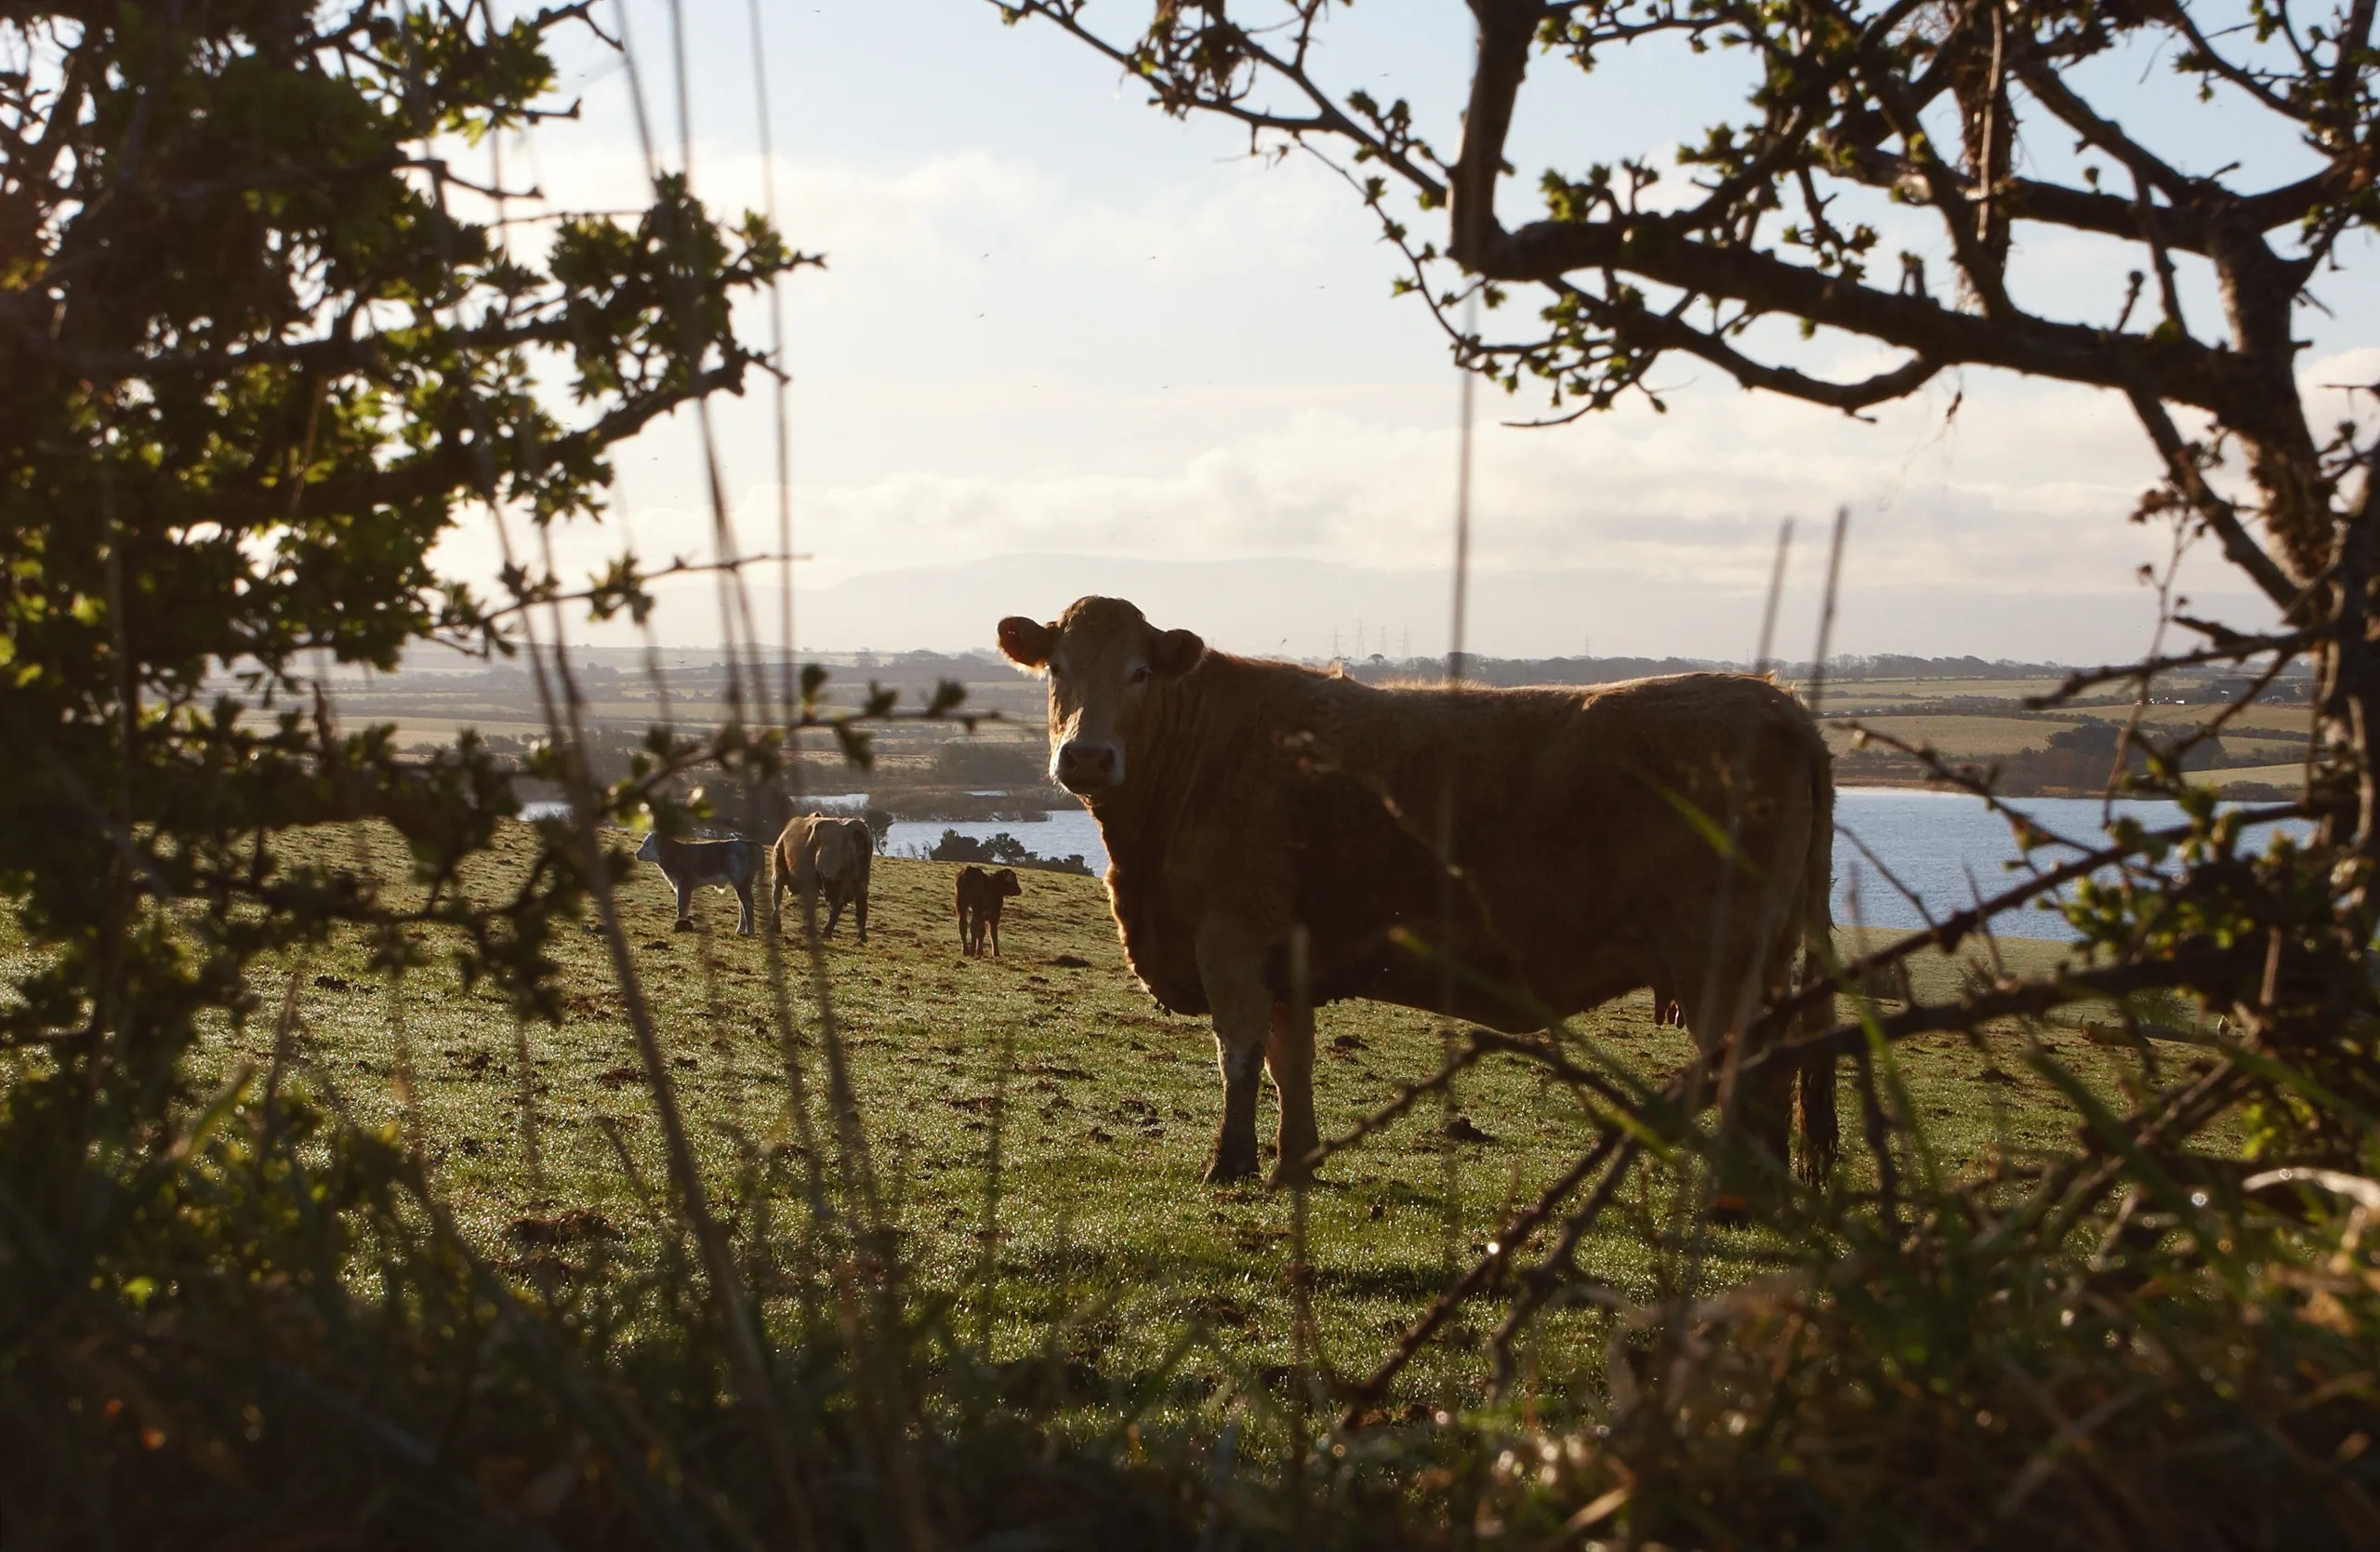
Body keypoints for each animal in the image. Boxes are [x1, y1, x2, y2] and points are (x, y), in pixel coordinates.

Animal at [636, 830, 759, 936]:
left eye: (647, 844)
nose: (636, 853)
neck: (676, 855)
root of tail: (747, 843)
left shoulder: (684, 885)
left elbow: (681, 905)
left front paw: (679, 925)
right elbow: (685, 906)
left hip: (741, 883)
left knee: (747, 903)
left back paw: (751, 932)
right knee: (741, 904)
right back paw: (740, 929)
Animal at [771, 814, 873, 943]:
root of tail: (855, 828)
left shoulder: (779, 874)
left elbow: (777, 898)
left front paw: (776, 925)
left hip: (832, 881)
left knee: (837, 905)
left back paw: (826, 932)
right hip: (861, 882)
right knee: (861, 907)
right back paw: (861, 937)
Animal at [996, 596, 1839, 1190]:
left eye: (1138, 672)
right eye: (1057, 669)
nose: (1087, 756)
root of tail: (1779, 700)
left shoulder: (1230, 935)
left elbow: (1236, 1053)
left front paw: (1229, 1164)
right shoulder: (1285, 954)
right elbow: (1288, 1061)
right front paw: (1293, 1161)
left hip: (1721, 960)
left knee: (1753, 1069)